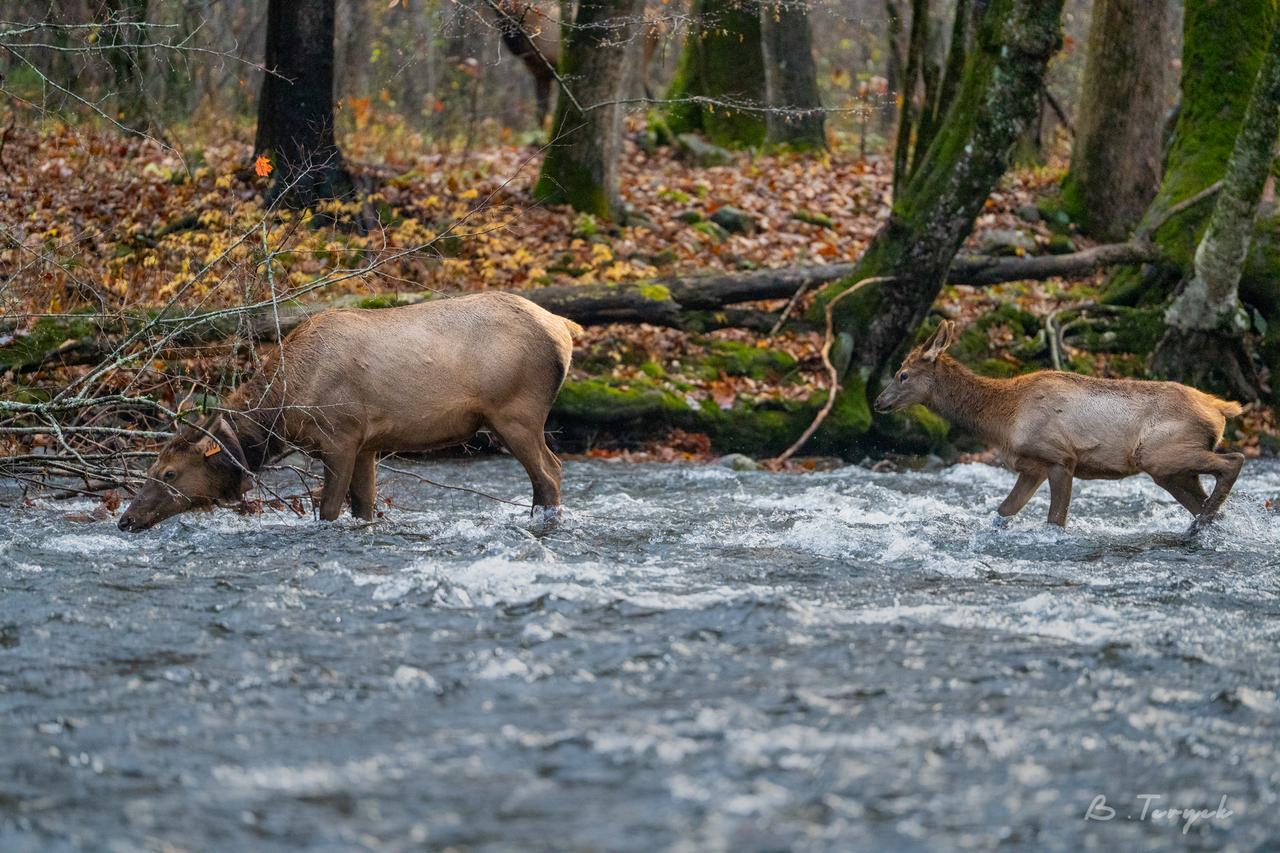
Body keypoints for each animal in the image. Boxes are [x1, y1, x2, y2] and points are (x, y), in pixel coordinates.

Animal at [118, 292, 582, 532]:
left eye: (169, 472)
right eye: (151, 467)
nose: (126, 519)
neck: (285, 407)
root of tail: (564, 327)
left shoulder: (339, 435)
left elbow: (328, 509)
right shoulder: (368, 444)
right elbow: (364, 507)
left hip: (516, 412)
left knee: (551, 472)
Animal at [873, 320, 1245, 531]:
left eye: (903, 374)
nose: (878, 402)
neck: (1001, 419)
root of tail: (1219, 408)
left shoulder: (1060, 458)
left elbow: (1055, 520)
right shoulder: (1032, 466)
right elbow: (1004, 510)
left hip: (1159, 454)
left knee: (1234, 460)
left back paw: (1202, 520)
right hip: (1172, 470)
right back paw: (1204, 522)